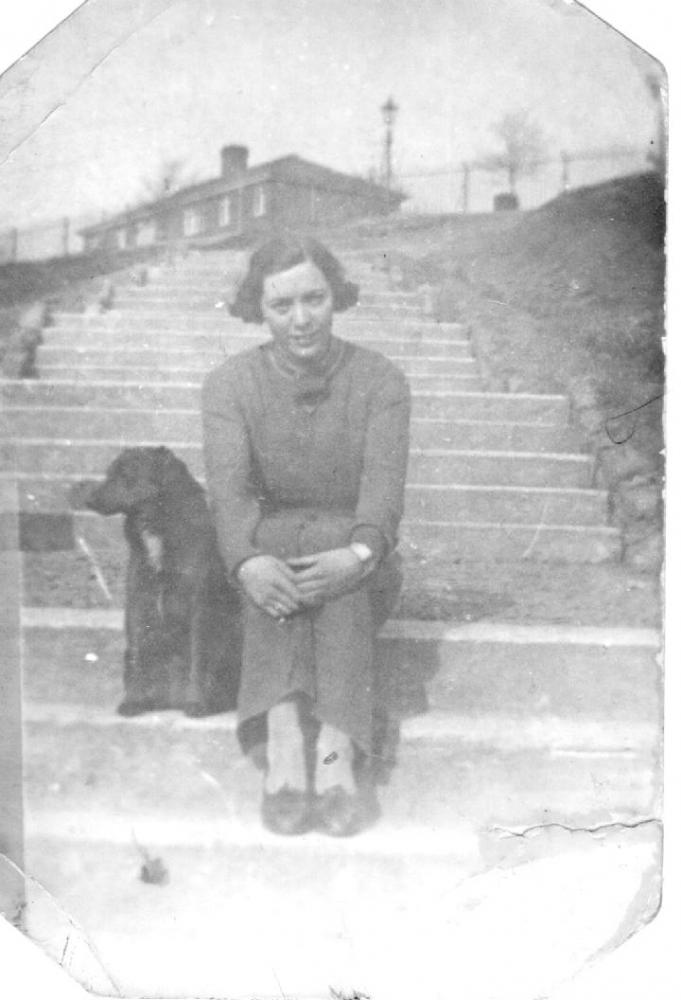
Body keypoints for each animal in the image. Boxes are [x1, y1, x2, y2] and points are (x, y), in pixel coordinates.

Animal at [71, 448, 240, 720]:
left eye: (125, 473)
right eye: (110, 472)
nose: (89, 499)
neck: (157, 523)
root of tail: (173, 700)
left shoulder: (199, 604)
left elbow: (198, 657)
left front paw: (197, 703)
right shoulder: (138, 599)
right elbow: (137, 653)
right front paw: (133, 701)